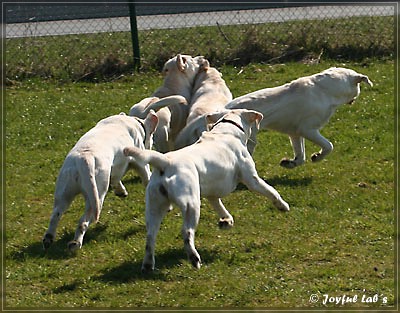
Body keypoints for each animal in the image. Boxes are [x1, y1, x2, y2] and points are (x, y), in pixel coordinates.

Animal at [42, 111, 158, 250]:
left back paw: (48, 239)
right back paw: (76, 243)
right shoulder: (140, 163)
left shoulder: (115, 169)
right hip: (97, 196)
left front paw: (121, 192)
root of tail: (84, 158)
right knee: (83, 221)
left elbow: (116, 179)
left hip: (64, 191)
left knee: (55, 215)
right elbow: (147, 177)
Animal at [123, 108, 290, 270]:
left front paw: (226, 221)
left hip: (154, 207)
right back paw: (194, 258)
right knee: (186, 232)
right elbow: (271, 191)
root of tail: (165, 162)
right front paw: (282, 205)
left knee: (150, 236)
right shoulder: (252, 179)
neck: (225, 130)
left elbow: (221, 208)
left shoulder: (212, 194)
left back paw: (148, 264)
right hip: (191, 204)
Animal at [225, 66, 376, 167]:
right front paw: (317, 157)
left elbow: (301, 157)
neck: (324, 90)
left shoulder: (295, 133)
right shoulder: (308, 130)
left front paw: (290, 163)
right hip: (249, 142)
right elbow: (329, 146)